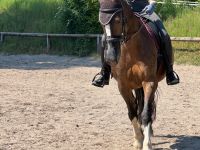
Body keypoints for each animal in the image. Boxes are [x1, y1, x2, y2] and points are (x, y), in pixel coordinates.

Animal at [98, 0, 166, 150]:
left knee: (148, 107)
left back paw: (149, 132)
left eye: (118, 20)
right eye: (101, 22)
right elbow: (132, 112)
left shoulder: (149, 82)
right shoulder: (123, 85)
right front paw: (138, 140)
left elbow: (146, 113)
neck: (131, 48)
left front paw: (146, 144)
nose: (110, 57)